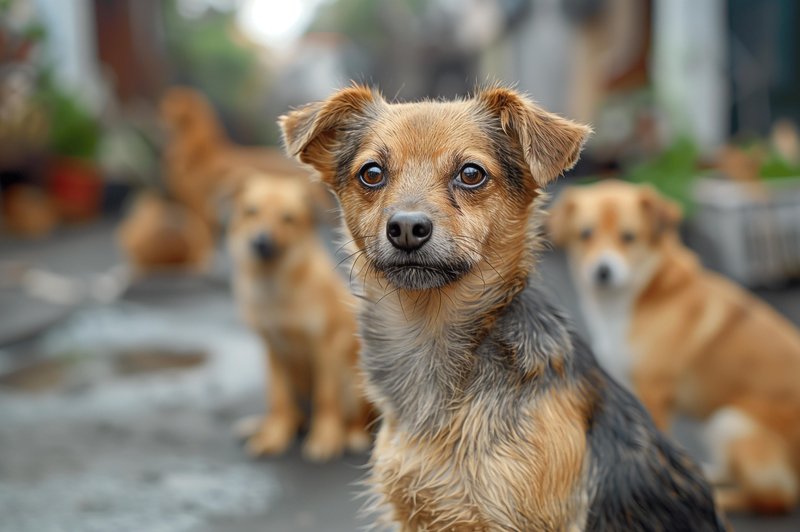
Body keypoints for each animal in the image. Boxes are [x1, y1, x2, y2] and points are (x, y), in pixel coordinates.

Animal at [228, 171, 372, 462]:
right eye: (251, 211)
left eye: (288, 218)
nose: (260, 242)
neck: (275, 285)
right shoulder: (272, 349)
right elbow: (278, 399)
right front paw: (274, 436)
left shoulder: (325, 346)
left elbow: (326, 398)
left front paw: (326, 439)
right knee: (291, 412)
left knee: (357, 417)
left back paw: (352, 435)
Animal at [548, 181, 800, 512]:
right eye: (585, 234)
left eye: (629, 237)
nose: (602, 271)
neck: (640, 295)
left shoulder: (653, 392)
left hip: (730, 421)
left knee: (772, 498)